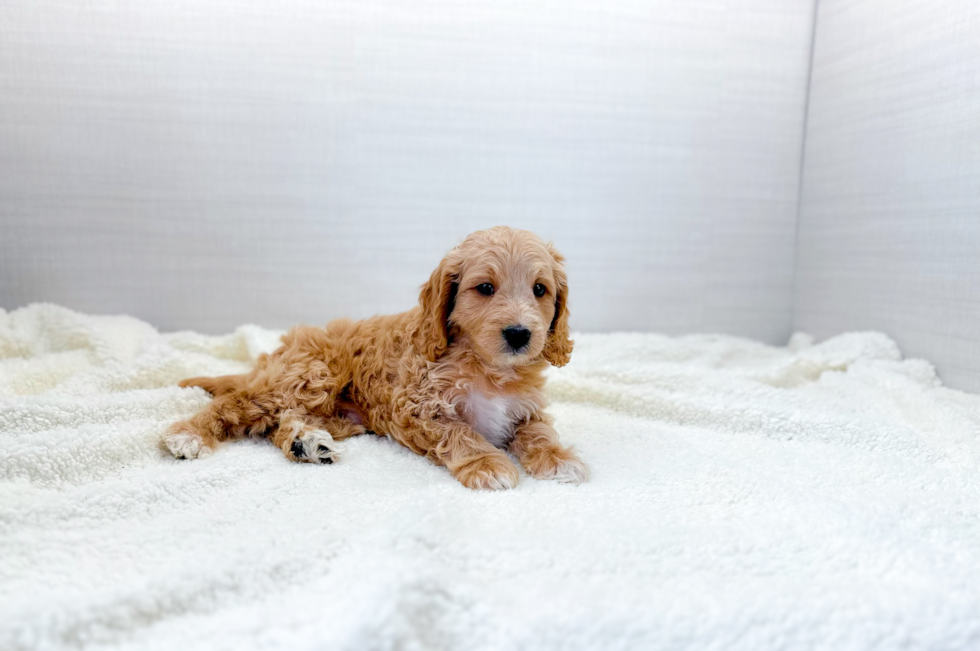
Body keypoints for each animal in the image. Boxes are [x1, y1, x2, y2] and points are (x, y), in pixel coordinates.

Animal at [165, 228, 584, 488]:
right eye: (484, 288)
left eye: (540, 290)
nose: (519, 334)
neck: (488, 368)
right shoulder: (417, 407)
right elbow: (461, 433)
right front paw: (487, 464)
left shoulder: (526, 409)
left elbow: (538, 432)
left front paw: (557, 457)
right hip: (309, 375)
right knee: (239, 403)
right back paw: (188, 434)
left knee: (278, 423)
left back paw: (306, 443)